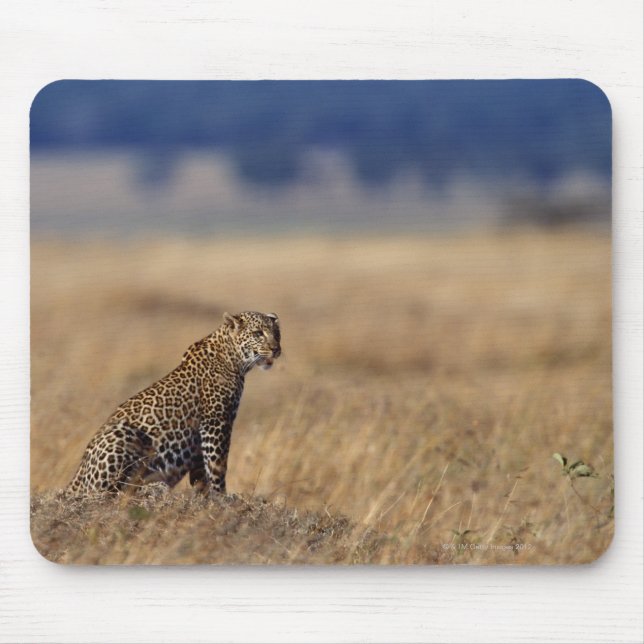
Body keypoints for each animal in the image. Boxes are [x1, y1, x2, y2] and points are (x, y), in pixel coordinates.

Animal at [66, 311, 281, 497]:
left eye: (277, 334)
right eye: (258, 333)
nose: (276, 349)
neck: (233, 358)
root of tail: (74, 481)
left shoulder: (200, 435)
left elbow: (201, 472)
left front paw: (203, 496)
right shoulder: (216, 422)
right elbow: (217, 465)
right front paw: (221, 496)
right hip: (121, 435)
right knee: (107, 492)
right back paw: (152, 487)